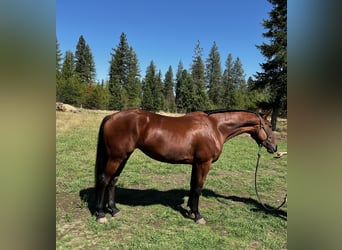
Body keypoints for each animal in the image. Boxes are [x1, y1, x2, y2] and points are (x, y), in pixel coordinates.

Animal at [95, 108, 276, 224]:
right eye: (268, 126)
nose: (274, 147)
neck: (215, 127)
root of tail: (111, 117)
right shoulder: (204, 163)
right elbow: (198, 188)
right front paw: (197, 216)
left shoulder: (196, 164)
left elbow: (192, 186)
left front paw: (190, 210)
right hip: (116, 157)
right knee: (104, 180)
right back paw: (101, 214)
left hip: (123, 156)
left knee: (113, 181)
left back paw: (114, 210)